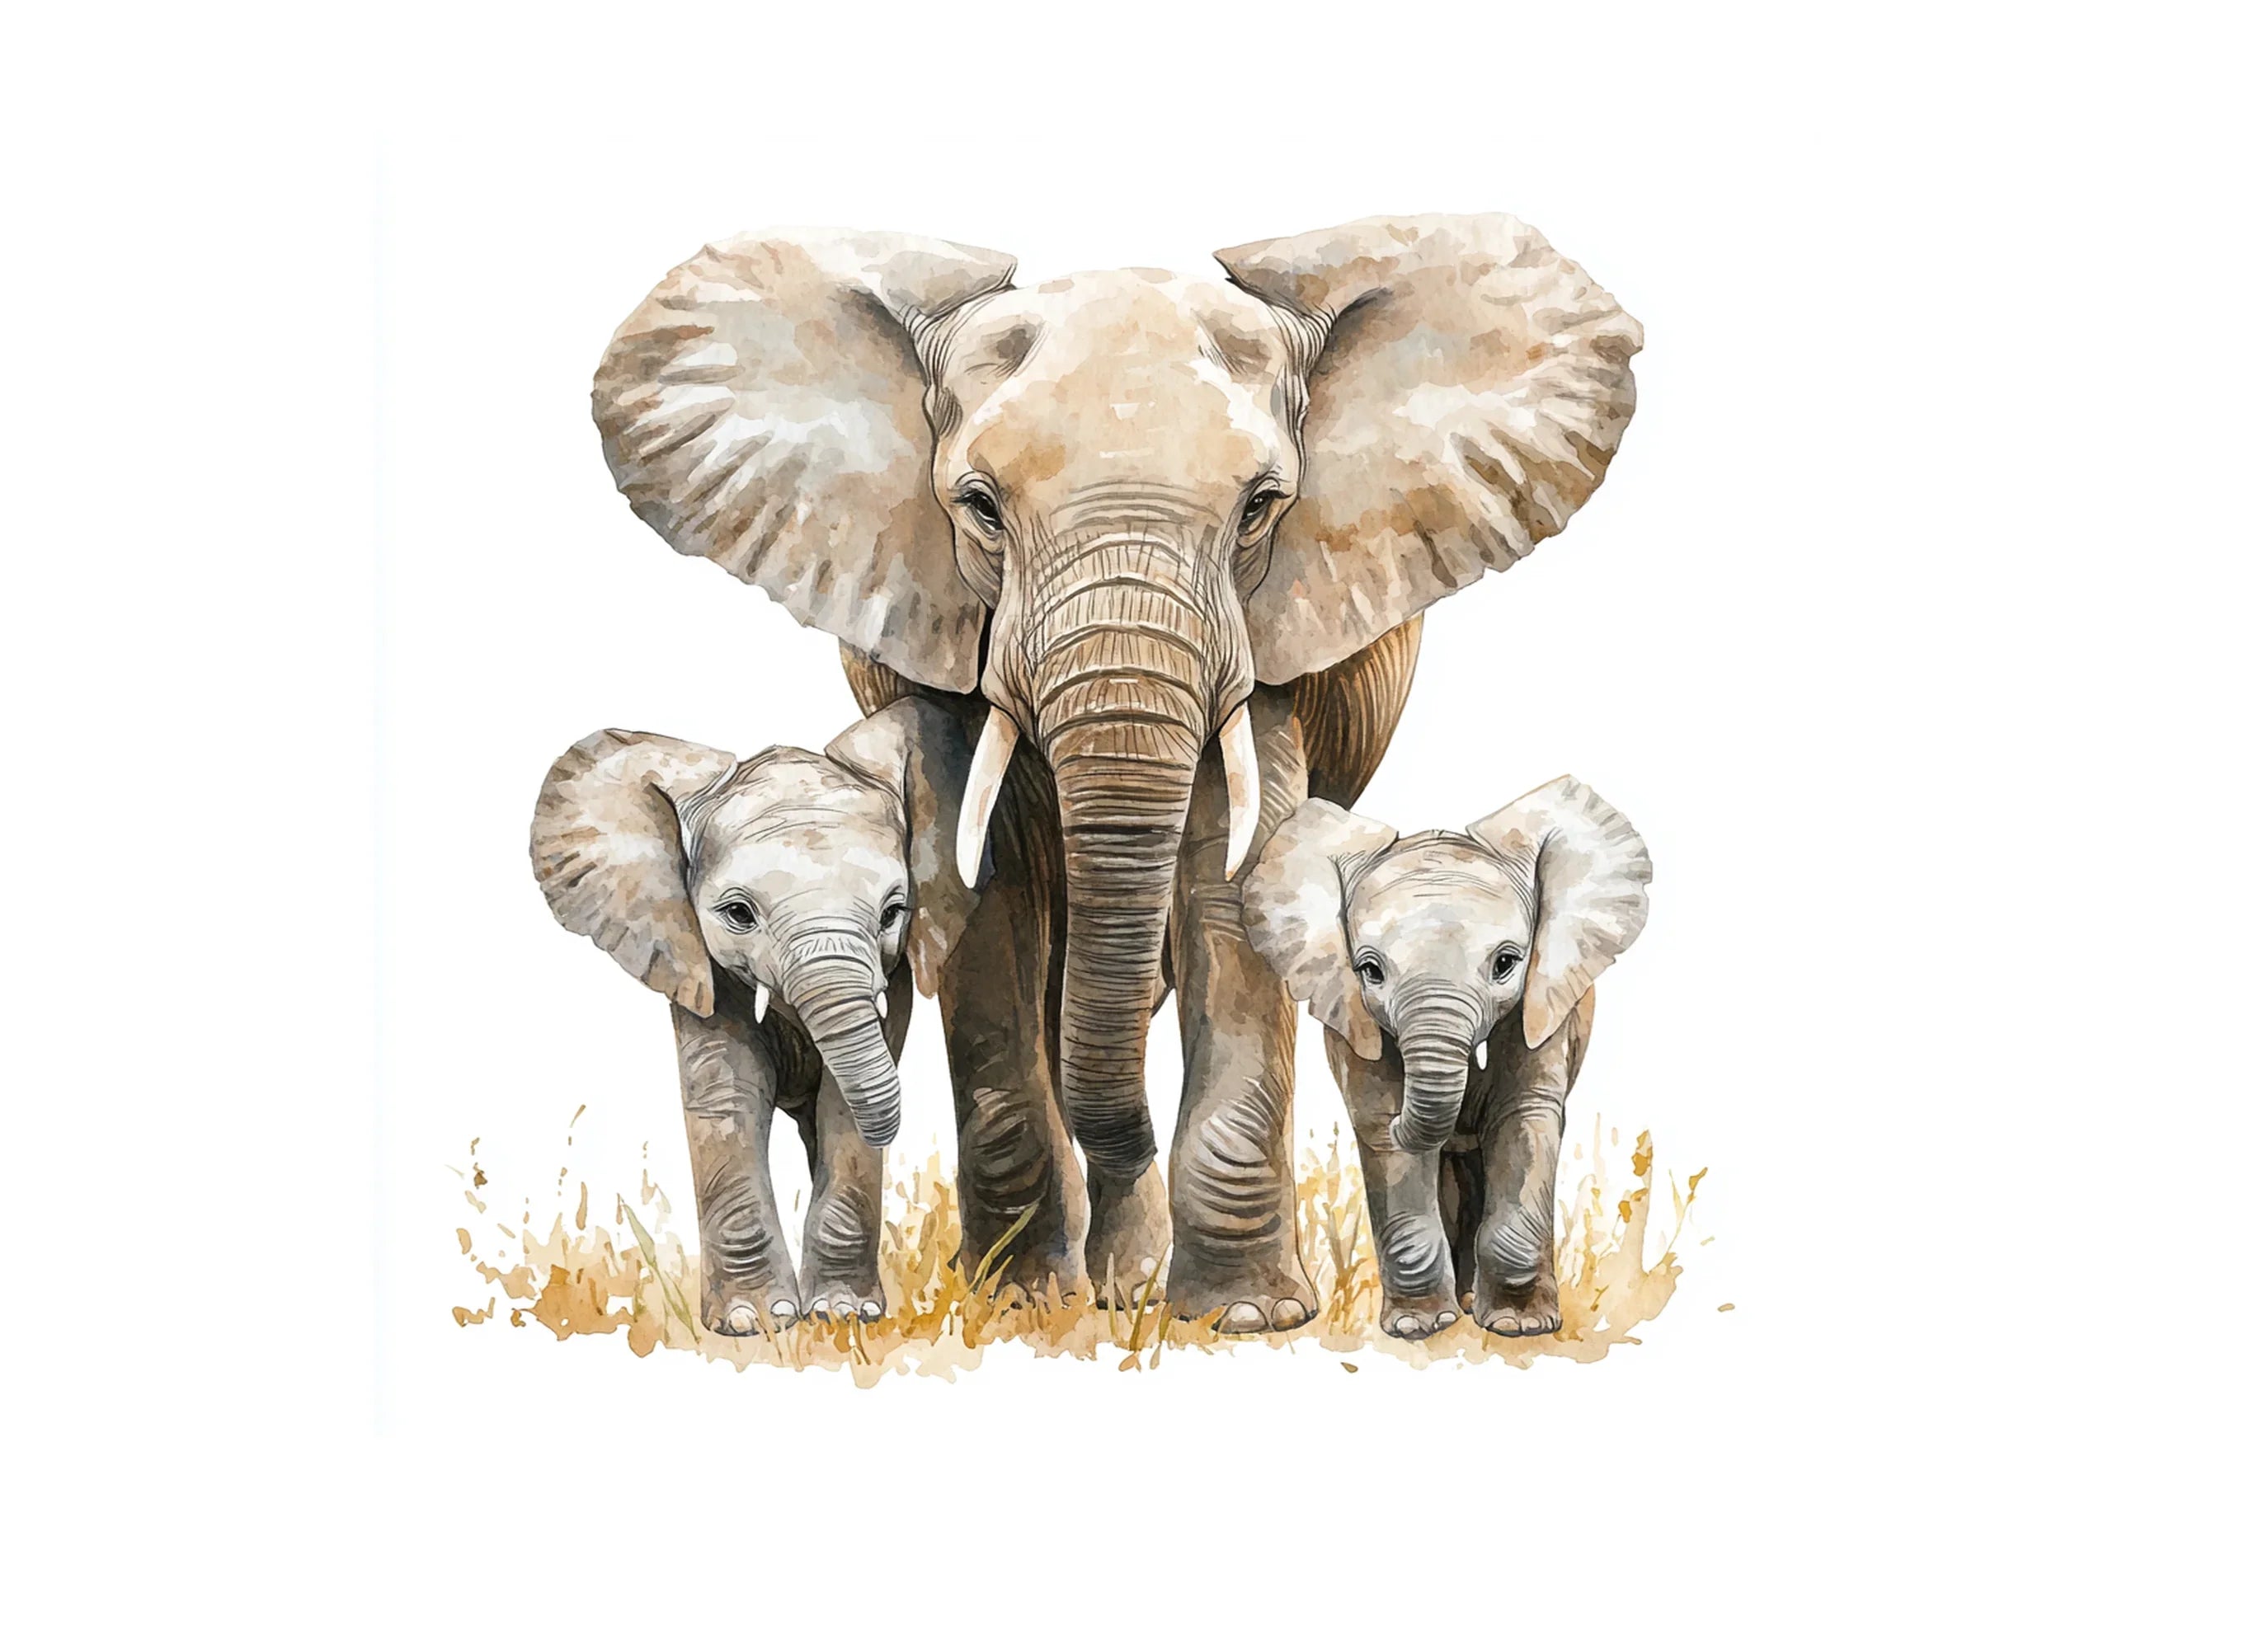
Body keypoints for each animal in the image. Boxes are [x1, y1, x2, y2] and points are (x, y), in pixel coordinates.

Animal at [528, 698, 981, 1331]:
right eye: (739, 913)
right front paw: (756, 1323)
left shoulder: (898, 968)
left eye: (894, 912)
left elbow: (841, 1107)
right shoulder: (694, 957)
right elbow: (729, 1090)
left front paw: (843, 1315)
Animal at [1240, 777, 1651, 1339]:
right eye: (1370, 971)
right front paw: (1419, 1326)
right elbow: (1382, 1125)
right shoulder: (1352, 1016)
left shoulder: (1546, 1000)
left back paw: (1476, 1300)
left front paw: (1518, 1326)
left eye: (1506, 963)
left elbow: (1521, 1115)